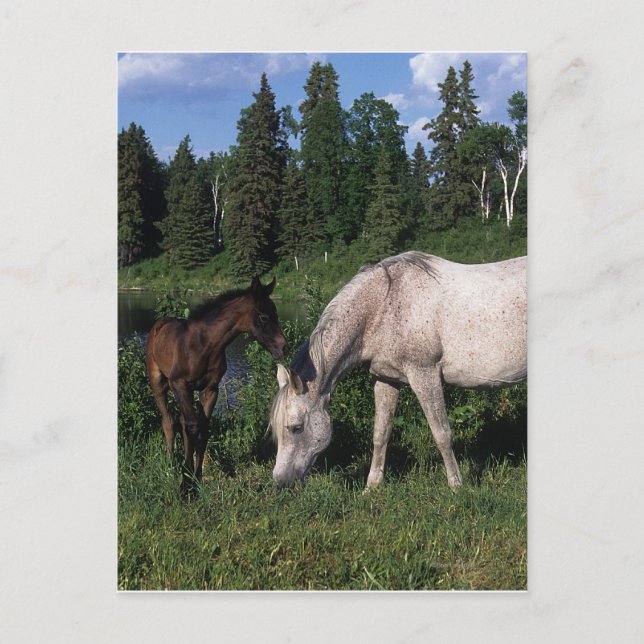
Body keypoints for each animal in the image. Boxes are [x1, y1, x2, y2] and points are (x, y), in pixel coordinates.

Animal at [146, 276, 288, 494]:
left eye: (276, 313)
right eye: (264, 317)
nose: (284, 347)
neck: (205, 345)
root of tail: (159, 325)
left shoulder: (210, 390)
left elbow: (203, 429)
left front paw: (197, 478)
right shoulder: (179, 385)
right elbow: (192, 427)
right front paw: (185, 484)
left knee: (181, 420)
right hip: (159, 383)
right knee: (168, 420)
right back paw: (170, 465)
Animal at [270, 252, 527, 490]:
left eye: (296, 428)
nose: (280, 481)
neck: (383, 306)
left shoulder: (425, 375)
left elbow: (441, 433)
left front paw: (456, 486)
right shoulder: (386, 379)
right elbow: (380, 434)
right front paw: (371, 487)